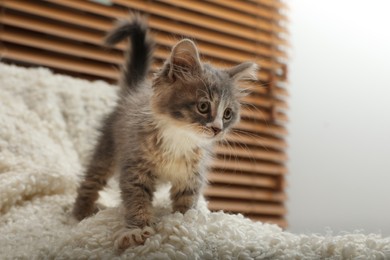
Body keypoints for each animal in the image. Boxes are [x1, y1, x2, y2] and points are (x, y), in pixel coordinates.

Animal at [71, 14, 258, 250]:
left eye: (227, 114)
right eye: (203, 106)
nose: (217, 129)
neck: (180, 137)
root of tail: (132, 92)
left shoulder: (191, 174)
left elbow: (186, 200)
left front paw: (186, 223)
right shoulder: (135, 167)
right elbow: (137, 200)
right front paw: (136, 230)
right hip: (107, 149)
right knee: (92, 179)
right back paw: (81, 214)